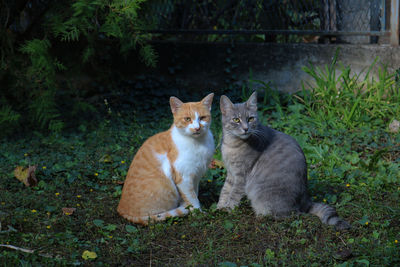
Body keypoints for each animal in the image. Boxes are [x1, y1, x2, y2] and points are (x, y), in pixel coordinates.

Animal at [116, 93, 214, 225]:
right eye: (187, 119)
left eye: (203, 117)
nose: (197, 128)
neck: (198, 143)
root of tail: (121, 210)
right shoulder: (183, 177)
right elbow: (192, 197)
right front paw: (197, 212)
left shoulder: (196, 175)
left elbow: (194, 193)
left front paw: (189, 207)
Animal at [217, 92, 352, 230]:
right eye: (236, 120)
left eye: (250, 119)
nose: (246, 128)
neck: (231, 144)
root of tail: (306, 201)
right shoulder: (231, 173)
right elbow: (225, 190)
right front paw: (220, 206)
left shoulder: (241, 175)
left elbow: (234, 194)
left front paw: (228, 208)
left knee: (292, 214)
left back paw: (261, 216)